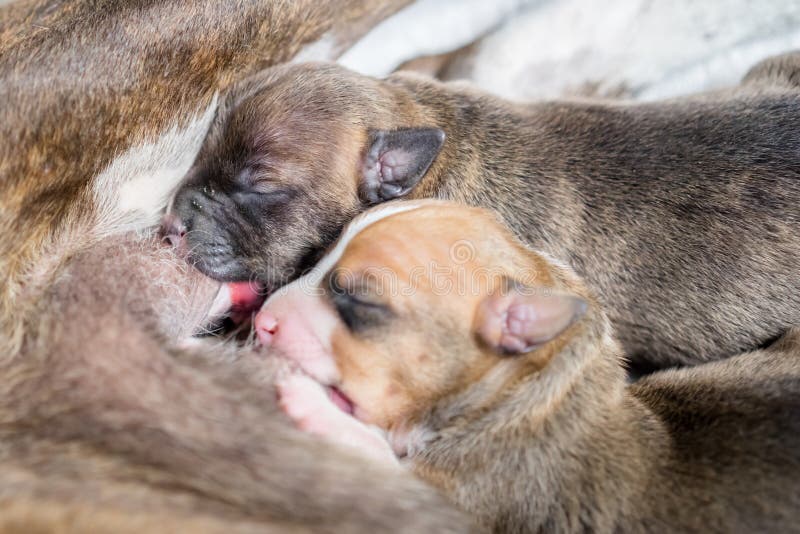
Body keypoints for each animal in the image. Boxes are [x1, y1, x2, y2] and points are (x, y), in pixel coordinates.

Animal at [256, 202, 800, 534]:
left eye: (359, 300)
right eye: (314, 258)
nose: (261, 322)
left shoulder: (463, 500)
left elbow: (383, 457)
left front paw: (313, 404)